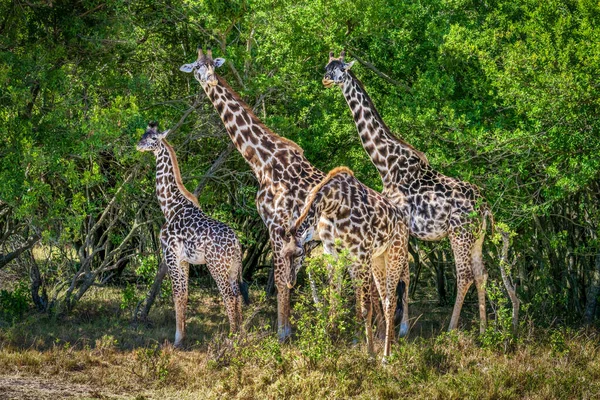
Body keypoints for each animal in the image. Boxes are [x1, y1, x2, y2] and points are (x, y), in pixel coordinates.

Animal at [137, 122, 248, 346]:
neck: (169, 207)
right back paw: (239, 336)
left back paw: (231, 339)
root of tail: (237, 244)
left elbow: (177, 295)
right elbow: (185, 295)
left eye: (153, 139)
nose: (138, 144)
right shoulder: (184, 260)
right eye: (144, 134)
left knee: (229, 296)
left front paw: (177, 339)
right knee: (237, 295)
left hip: (216, 266)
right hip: (233, 268)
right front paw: (183, 336)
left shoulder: (171, 256)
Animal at [178, 47, 328, 340]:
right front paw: (287, 331)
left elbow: (281, 281)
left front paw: (282, 335)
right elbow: (286, 280)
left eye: (213, 65)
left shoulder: (276, 225)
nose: (210, 79)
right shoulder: (282, 231)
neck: (262, 162)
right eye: (197, 67)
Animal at [284, 166, 410, 360]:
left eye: (299, 254)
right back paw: (390, 347)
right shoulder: (332, 254)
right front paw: (330, 347)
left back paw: (385, 356)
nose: (290, 282)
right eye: (283, 254)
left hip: (395, 254)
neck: (332, 205)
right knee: (386, 299)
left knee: (391, 302)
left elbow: (366, 308)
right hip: (378, 260)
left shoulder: (362, 254)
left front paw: (370, 354)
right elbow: (333, 303)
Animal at [326, 50, 494, 334]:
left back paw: (451, 330)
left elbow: (401, 273)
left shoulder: (401, 225)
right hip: (477, 238)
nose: (325, 79)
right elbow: (402, 272)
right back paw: (484, 331)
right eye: (327, 66)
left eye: (340, 69)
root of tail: (484, 207)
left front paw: (401, 328)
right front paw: (399, 326)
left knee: (465, 275)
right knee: (481, 273)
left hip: (459, 234)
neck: (385, 164)